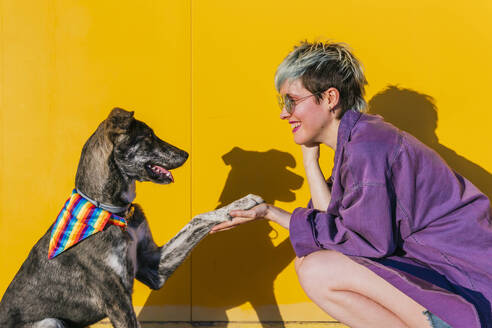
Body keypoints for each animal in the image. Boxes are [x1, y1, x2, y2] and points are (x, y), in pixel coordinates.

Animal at [0, 108, 266, 328]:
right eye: (148, 136)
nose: (186, 154)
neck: (115, 213)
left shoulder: (153, 266)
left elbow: (197, 219)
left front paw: (241, 203)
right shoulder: (117, 300)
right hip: (50, 321)